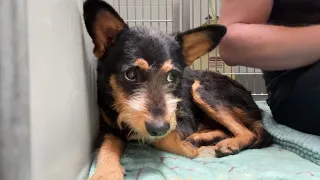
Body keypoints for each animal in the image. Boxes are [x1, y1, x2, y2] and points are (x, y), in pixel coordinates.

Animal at [82, 0, 270, 179]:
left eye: (172, 76)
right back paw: (203, 138)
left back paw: (225, 143)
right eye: (131, 74)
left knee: (247, 132)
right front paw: (106, 173)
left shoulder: (181, 121)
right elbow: (106, 147)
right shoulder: (107, 128)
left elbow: (161, 139)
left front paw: (192, 149)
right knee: (227, 130)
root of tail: (255, 105)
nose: (158, 127)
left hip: (201, 89)